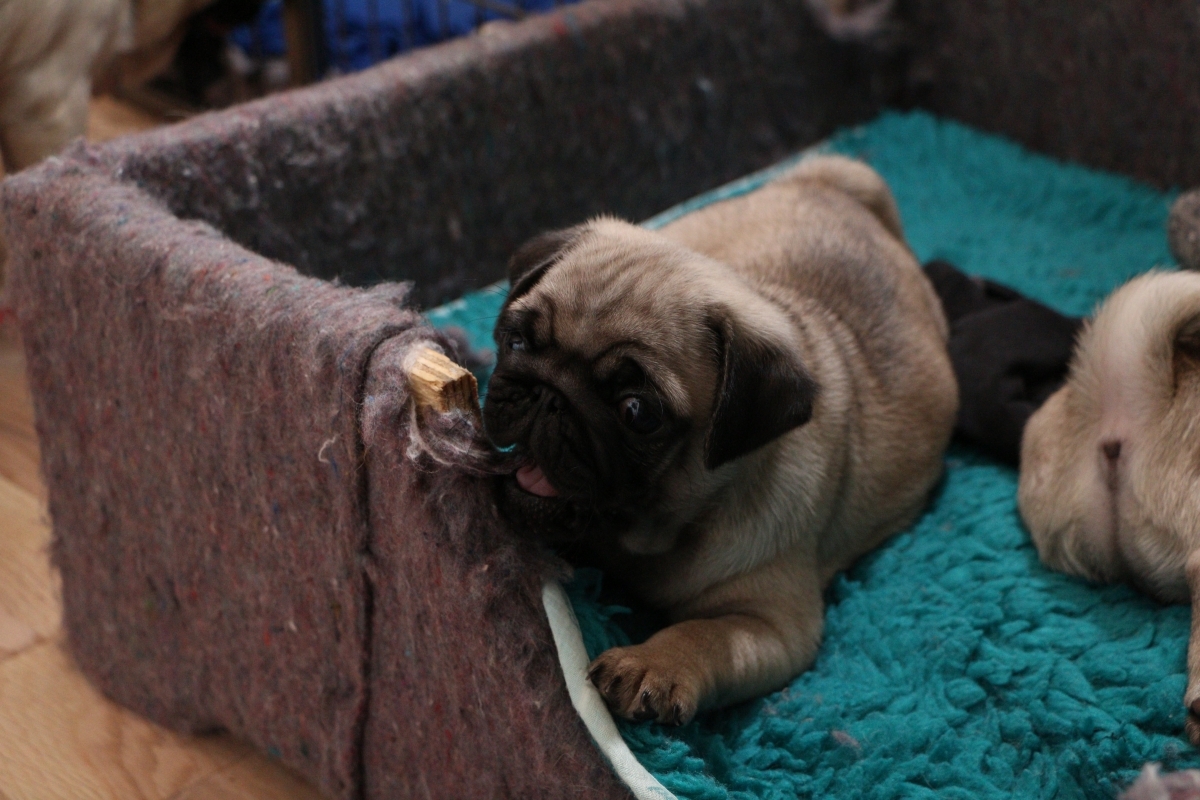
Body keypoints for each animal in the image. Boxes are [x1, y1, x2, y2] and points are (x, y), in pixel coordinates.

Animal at [483, 155, 958, 725]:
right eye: (515, 341)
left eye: (638, 412)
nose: (548, 398)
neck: (654, 535)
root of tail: (826, 184)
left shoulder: (772, 624)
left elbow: (704, 634)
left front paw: (652, 663)